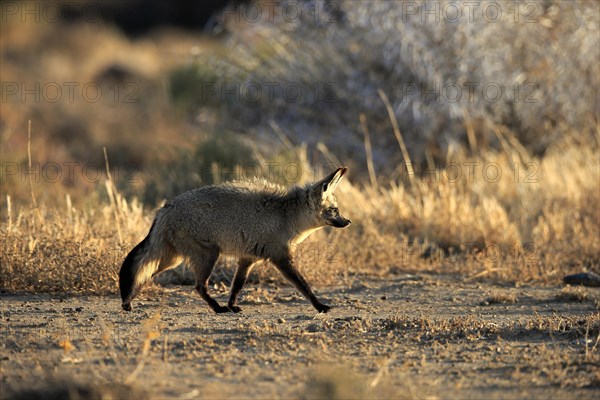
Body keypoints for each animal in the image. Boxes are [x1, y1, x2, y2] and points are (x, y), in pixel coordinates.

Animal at [118, 167, 352, 314]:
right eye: (334, 210)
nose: (348, 221)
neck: (287, 216)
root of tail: (165, 208)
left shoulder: (248, 259)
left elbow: (236, 286)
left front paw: (231, 305)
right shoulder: (281, 259)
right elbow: (304, 285)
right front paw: (320, 306)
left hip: (171, 259)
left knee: (144, 273)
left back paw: (128, 300)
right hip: (208, 256)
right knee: (198, 286)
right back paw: (217, 309)